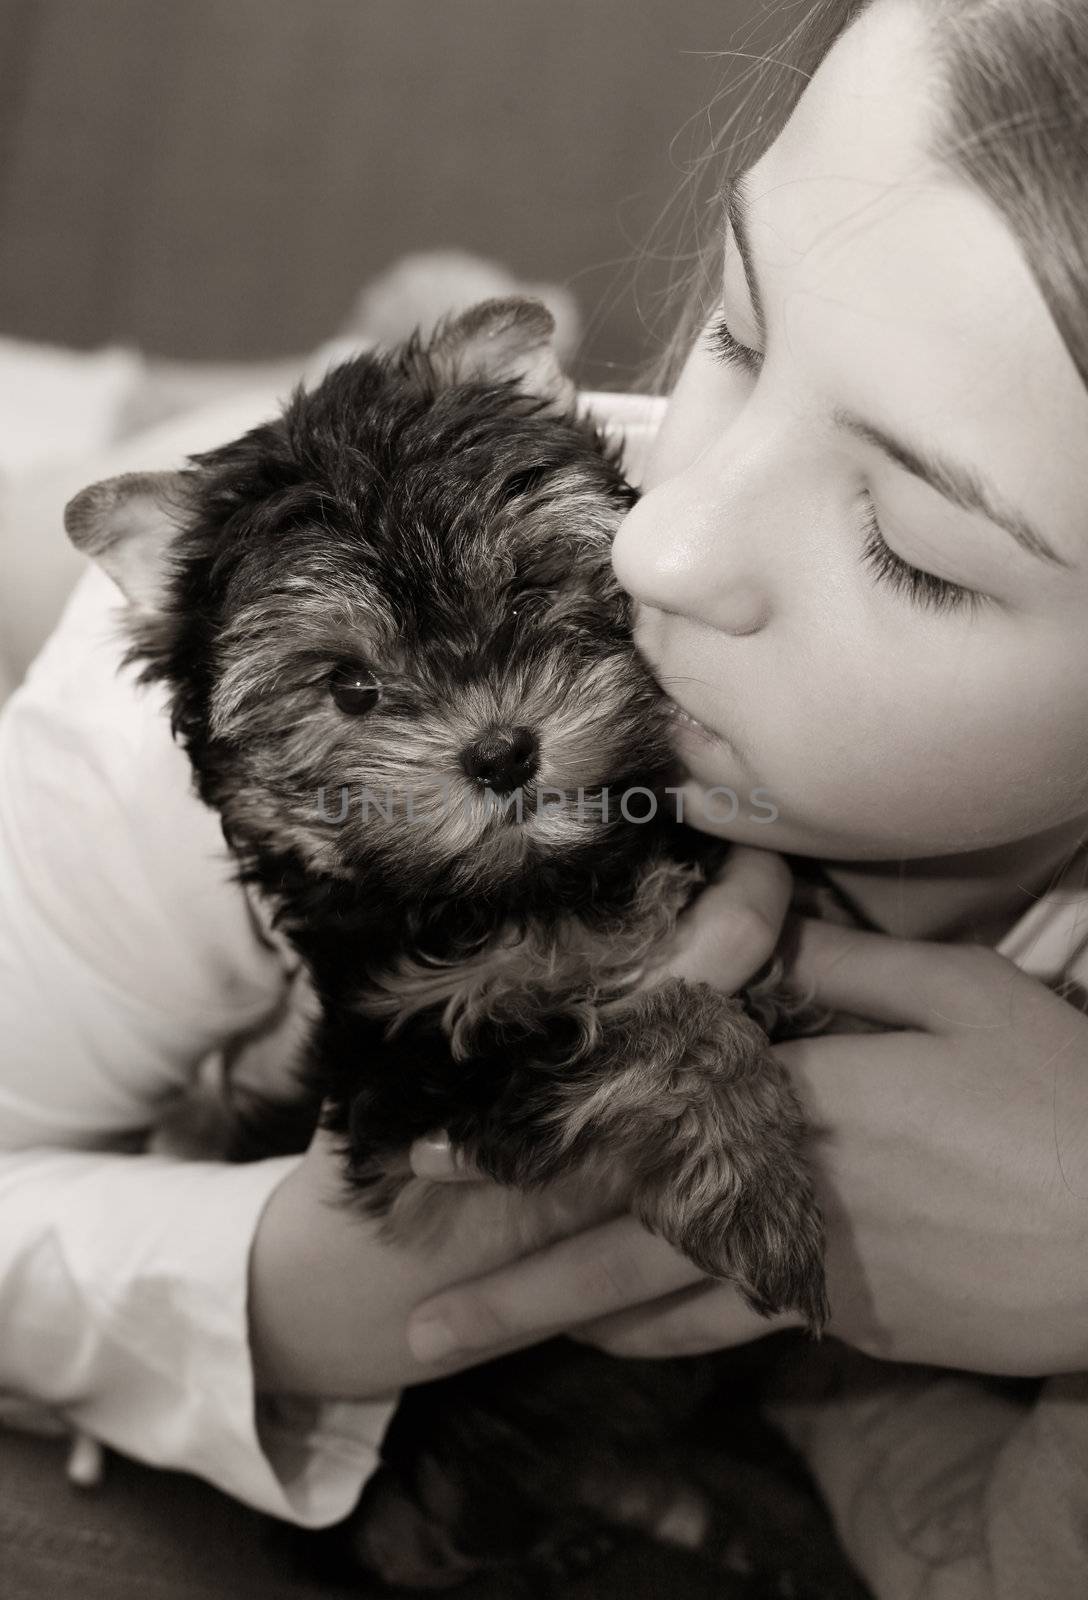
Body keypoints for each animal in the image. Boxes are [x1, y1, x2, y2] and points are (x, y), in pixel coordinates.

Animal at [63, 297, 838, 1587]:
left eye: (521, 587)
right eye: (347, 687)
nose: (500, 750)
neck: (533, 889)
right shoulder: (421, 1082)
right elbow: (647, 1023)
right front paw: (757, 1171)